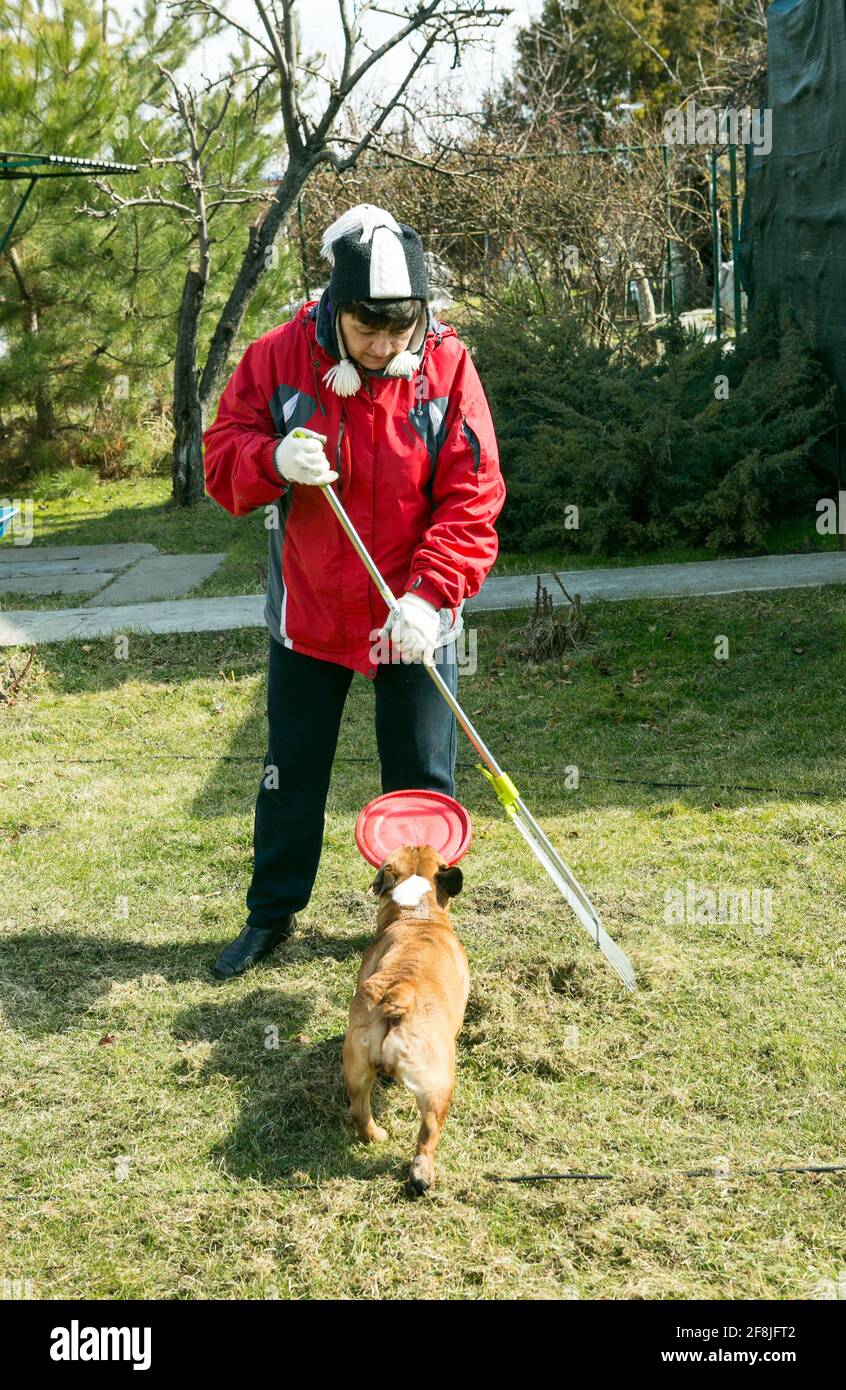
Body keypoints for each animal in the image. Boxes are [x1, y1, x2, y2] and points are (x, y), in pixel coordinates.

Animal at [343, 845, 469, 1195]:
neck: (417, 915)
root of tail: (399, 994)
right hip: (438, 1084)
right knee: (428, 1131)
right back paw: (421, 1175)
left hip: (356, 1067)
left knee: (359, 1110)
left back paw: (376, 1136)